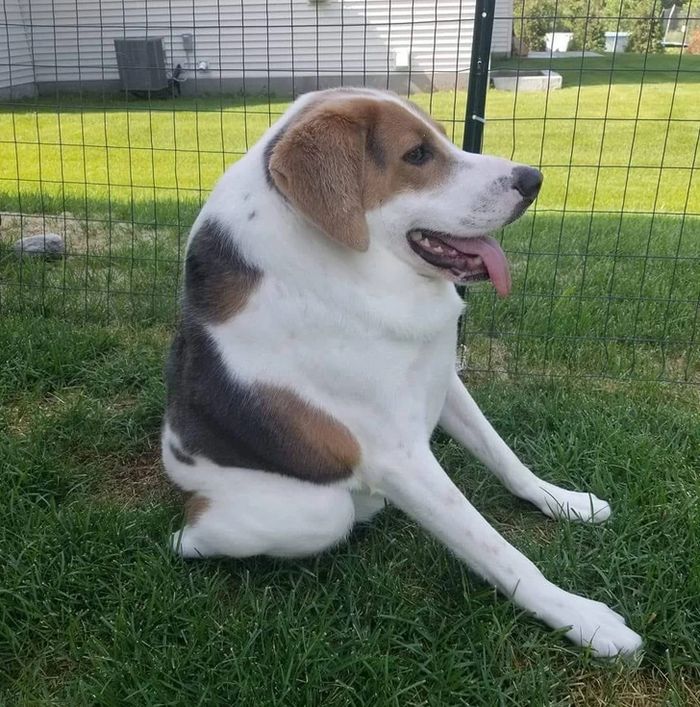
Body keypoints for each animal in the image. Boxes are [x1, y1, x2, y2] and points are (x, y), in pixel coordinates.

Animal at [161, 87, 644, 660]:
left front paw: (561, 502)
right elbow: (496, 549)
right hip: (311, 511)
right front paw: (581, 618)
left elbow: (506, 458)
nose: (533, 180)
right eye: (417, 155)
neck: (355, 275)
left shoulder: (444, 379)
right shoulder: (399, 458)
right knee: (206, 534)